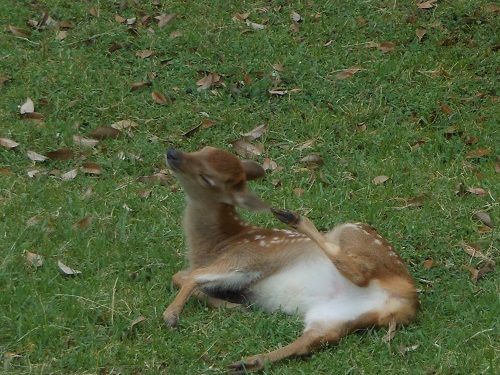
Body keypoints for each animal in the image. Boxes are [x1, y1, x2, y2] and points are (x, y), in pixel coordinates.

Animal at [164, 146, 418, 374]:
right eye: (202, 149)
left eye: (207, 178)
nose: (172, 152)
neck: (215, 245)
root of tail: (405, 303)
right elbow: (180, 276)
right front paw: (233, 306)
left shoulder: (249, 256)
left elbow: (192, 276)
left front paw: (172, 315)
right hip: (334, 316)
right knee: (310, 341)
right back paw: (249, 362)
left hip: (353, 234)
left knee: (359, 272)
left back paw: (292, 217)